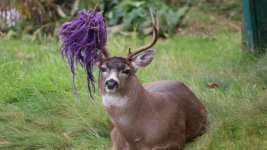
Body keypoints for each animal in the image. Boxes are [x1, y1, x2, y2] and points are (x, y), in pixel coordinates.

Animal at [97, 11, 208, 149]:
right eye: (102, 68)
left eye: (127, 70)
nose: (111, 82)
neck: (136, 135)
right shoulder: (115, 138)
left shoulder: (175, 139)